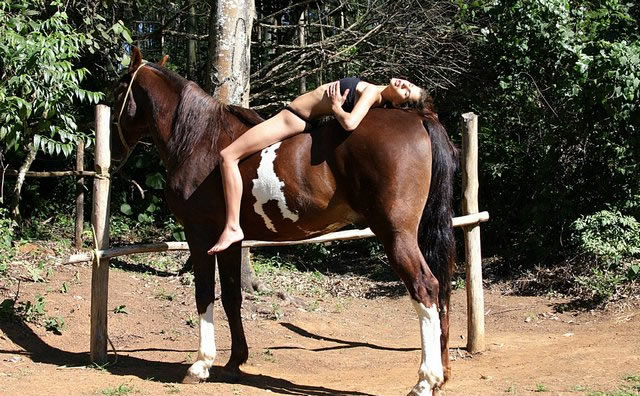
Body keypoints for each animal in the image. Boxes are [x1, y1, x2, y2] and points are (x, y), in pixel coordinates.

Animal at [112, 47, 458, 396]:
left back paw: (424, 380)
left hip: (396, 234)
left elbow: (204, 294)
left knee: (425, 288)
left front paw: (201, 365)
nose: (114, 152)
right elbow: (233, 297)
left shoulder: (200, 236)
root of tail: (420, 118)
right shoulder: (231, 242)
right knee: (441, 289)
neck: (199, 139)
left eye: (118, 91)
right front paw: (235, 362)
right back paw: (440, 375)